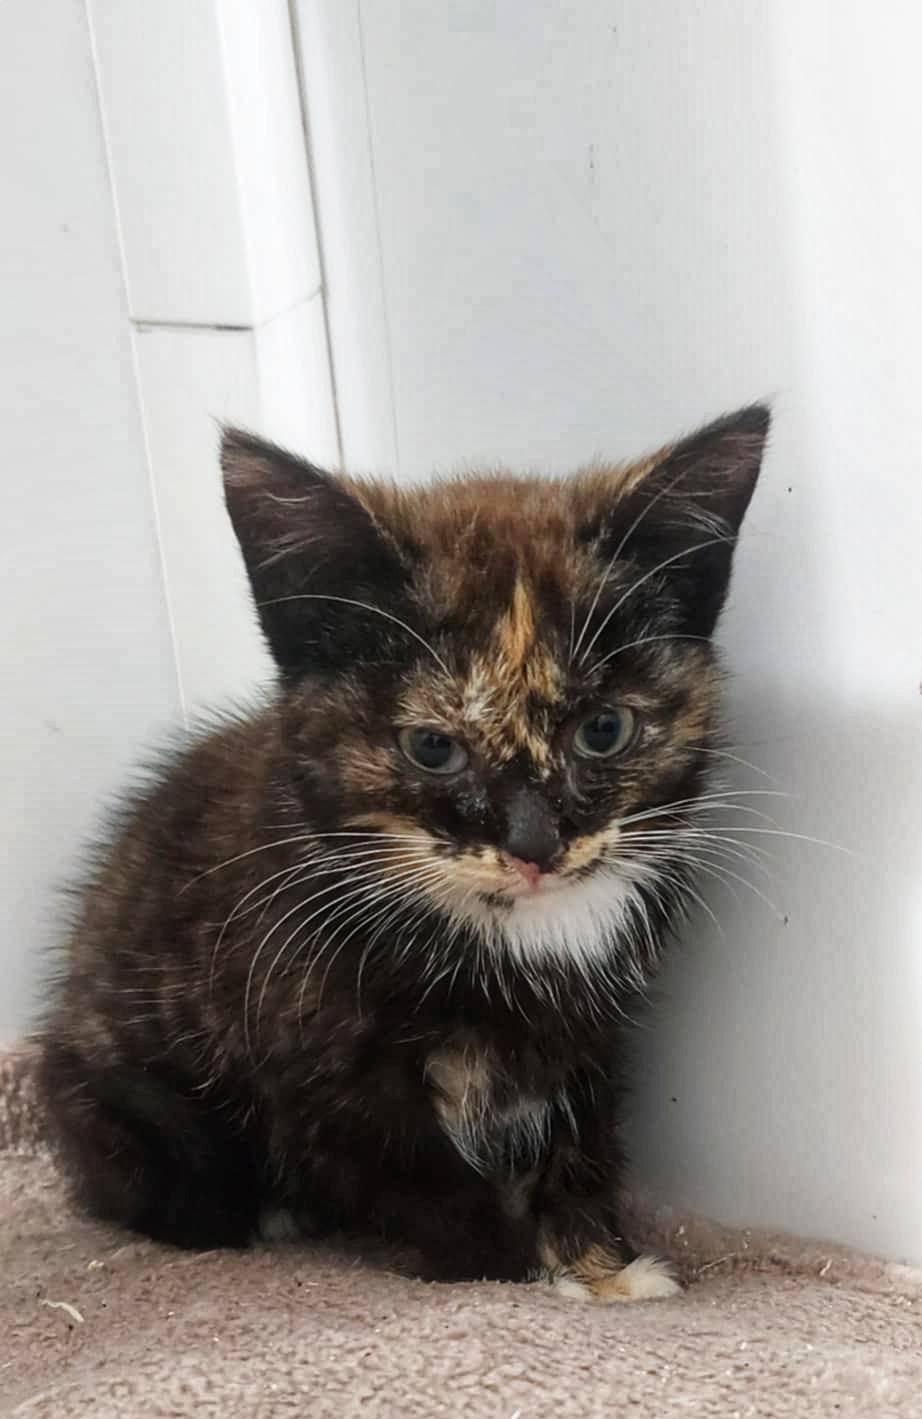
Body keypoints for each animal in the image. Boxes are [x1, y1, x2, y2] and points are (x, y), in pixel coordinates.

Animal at [37, 404, 769, 1302]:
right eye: (432, 748)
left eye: (604, 729)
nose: (535, 844)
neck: (512, 934)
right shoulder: (325, 1075)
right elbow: (428, 1186)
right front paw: (513, 1275)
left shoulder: (591, 1035)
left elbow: (582, 1146)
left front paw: (602, 1271)